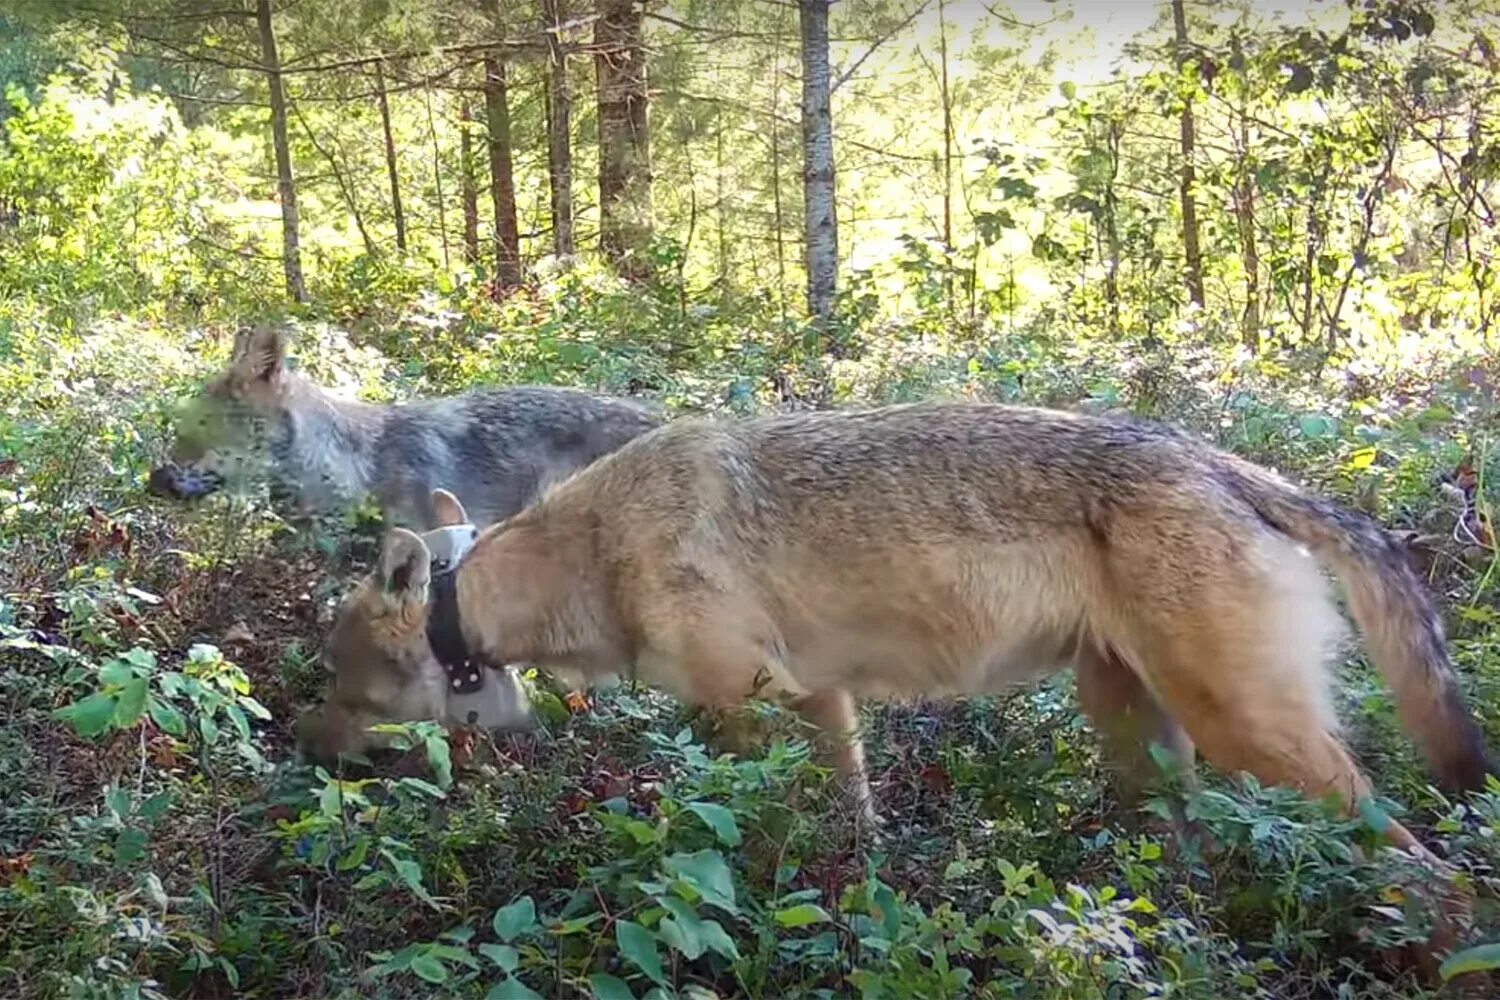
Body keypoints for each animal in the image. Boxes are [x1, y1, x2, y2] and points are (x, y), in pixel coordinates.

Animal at [301, 401, 1488, 869]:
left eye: (338, 679)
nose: (299, 749)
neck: (594, 555)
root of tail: (1223, 464)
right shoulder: (821, 702)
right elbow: (854, 834)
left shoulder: (759, 704)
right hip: (1144, 740)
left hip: (1255, 737)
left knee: (1420, 858)